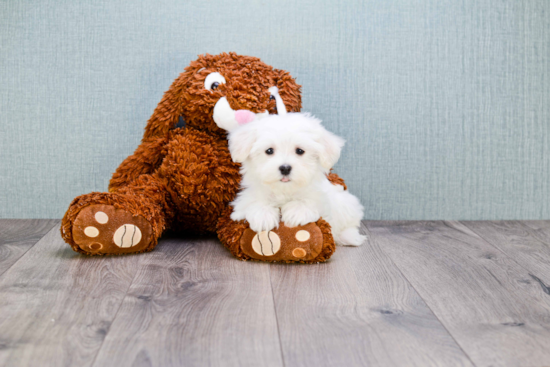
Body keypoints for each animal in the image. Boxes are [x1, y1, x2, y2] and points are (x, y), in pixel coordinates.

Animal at [229, 113, 366, 246]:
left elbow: (310, 201)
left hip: (347, 203)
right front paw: (263, 215)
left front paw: (296, 211)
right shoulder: (245, 200)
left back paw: (350, 237)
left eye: (300, 151)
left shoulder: (321, 198)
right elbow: (254, 202)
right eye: (269, 150)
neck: (284, 190)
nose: (285, 168)